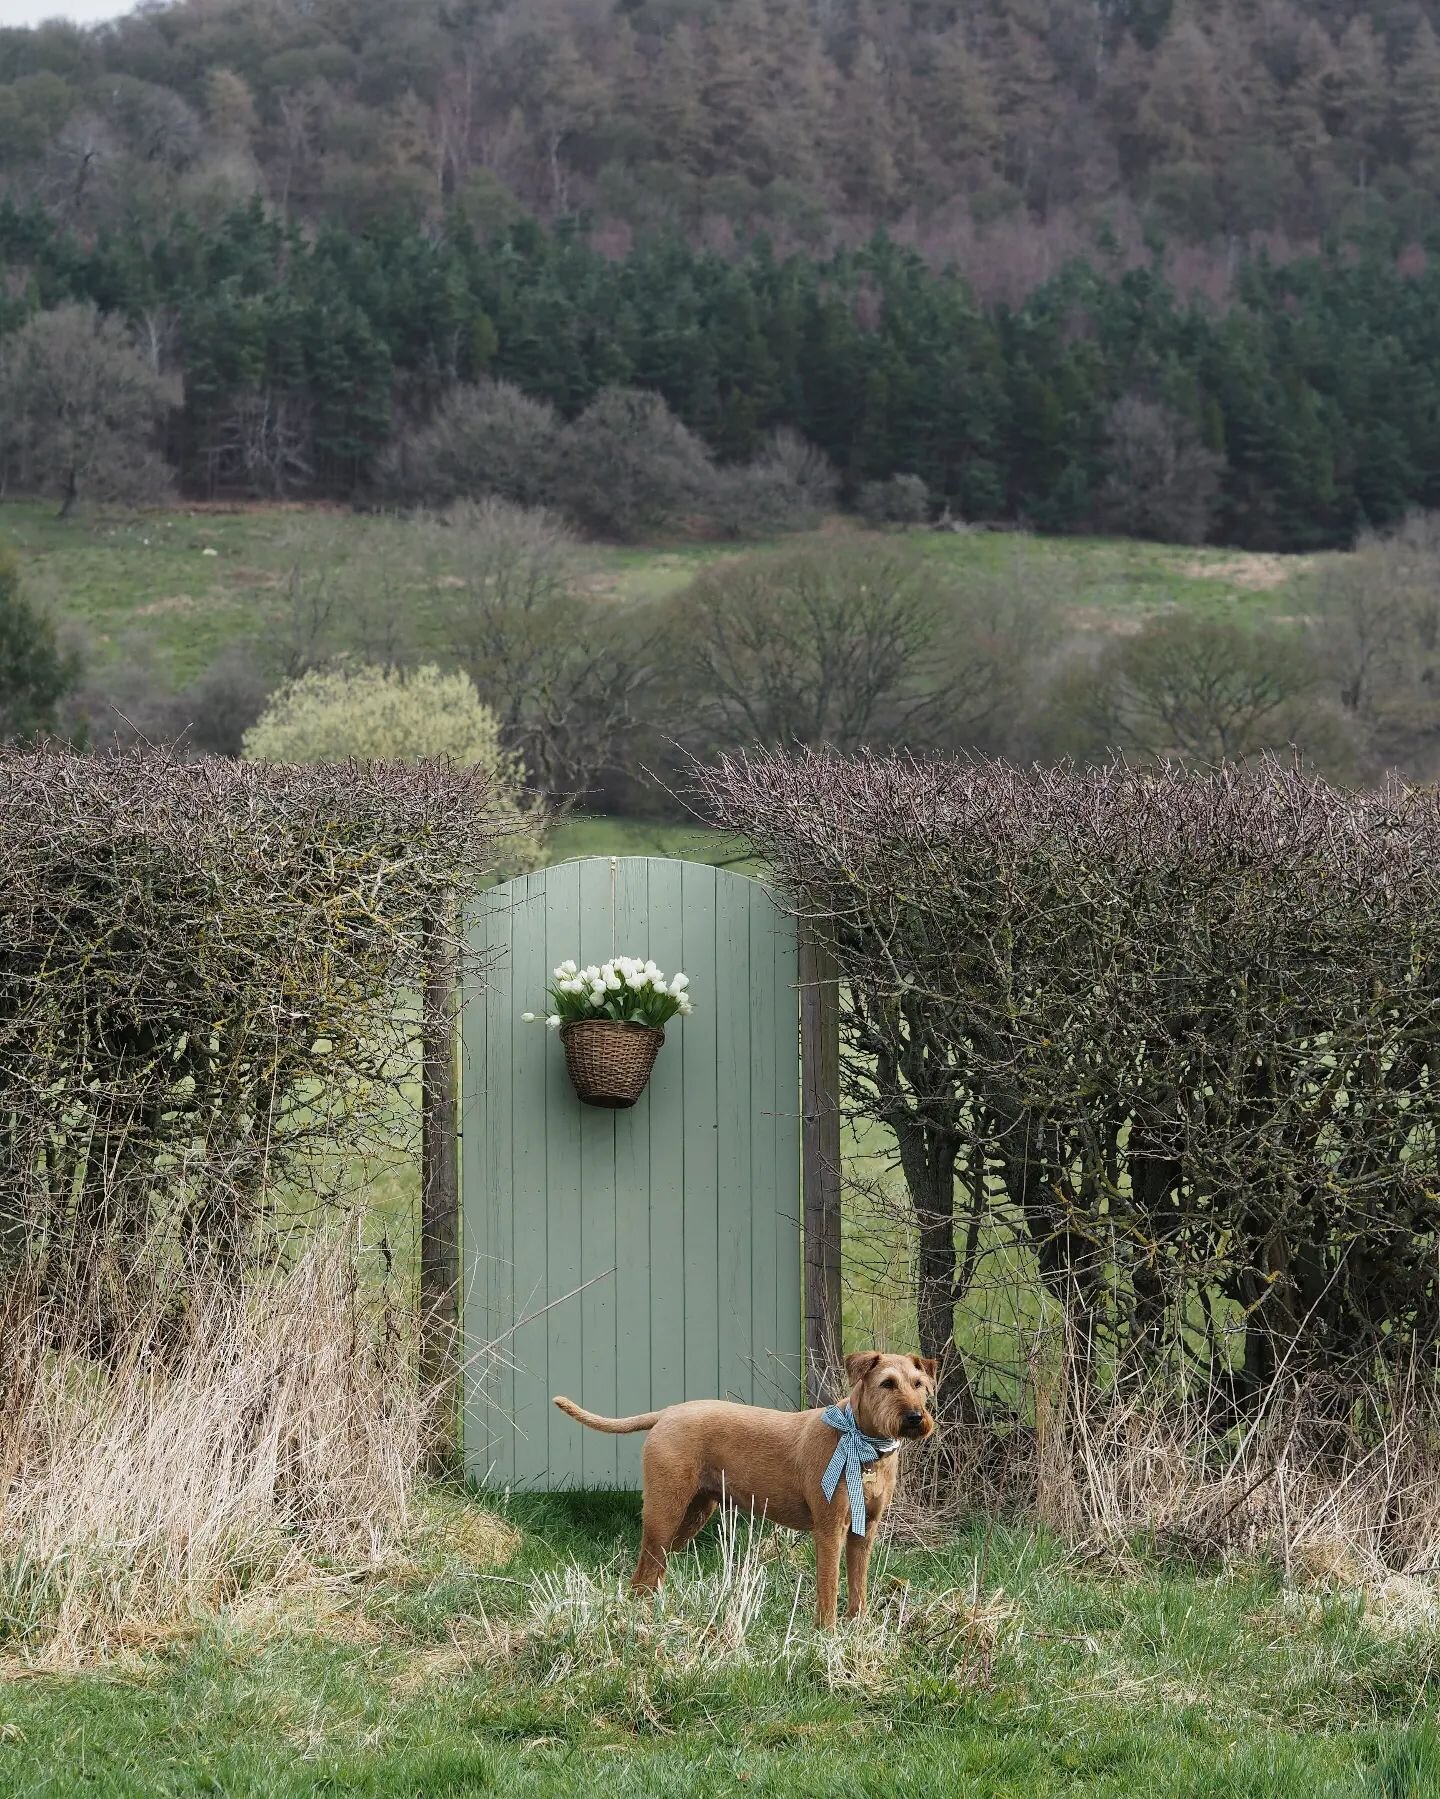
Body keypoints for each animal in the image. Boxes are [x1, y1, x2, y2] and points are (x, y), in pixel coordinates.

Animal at [550, 1352, 936, 1633]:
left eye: (919, 1384)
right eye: (887, 1383)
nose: (916, 1417)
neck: (866, 1446)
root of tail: (667, 1414)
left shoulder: (864, 1531)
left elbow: (858, 1584)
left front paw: (858, 1625)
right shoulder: (829, 1529)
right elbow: (829, 1585)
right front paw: (826, 1633)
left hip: (693, 1514)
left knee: (652, 1573)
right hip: (665, 1511)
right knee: (642, 1572)